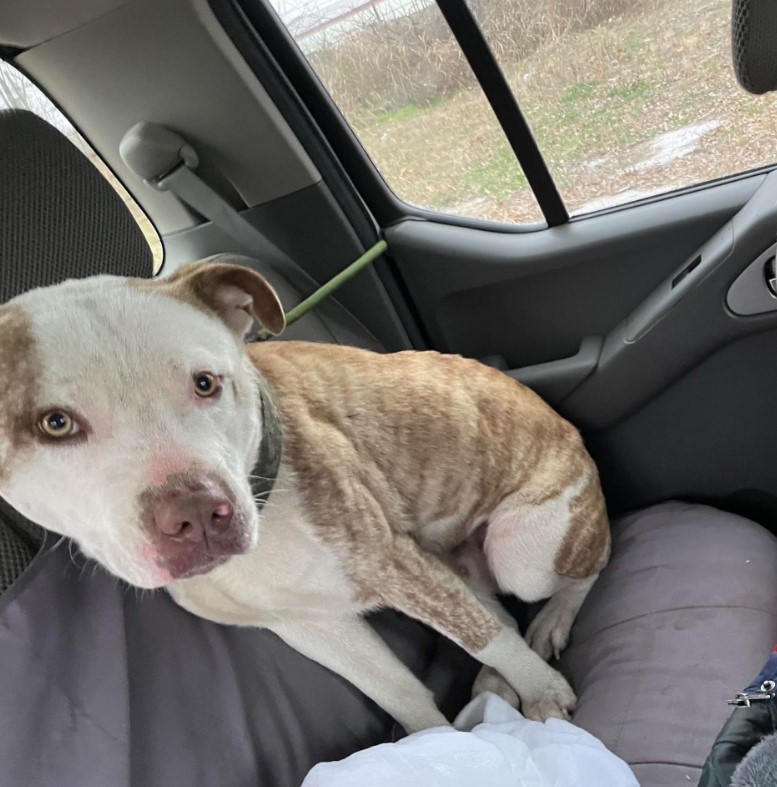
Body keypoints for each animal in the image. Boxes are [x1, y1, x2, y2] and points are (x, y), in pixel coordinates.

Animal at [0, 264, 608, 732]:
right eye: (54, 424)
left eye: (206, 383)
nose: (196, 512)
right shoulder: (307, 624)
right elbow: (396, 689)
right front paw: (437, 745)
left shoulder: (391, 563)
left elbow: (483, 636)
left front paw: (543, 691)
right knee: (496, 608)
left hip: (523, 553)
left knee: (580, 569)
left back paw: (550, 623)